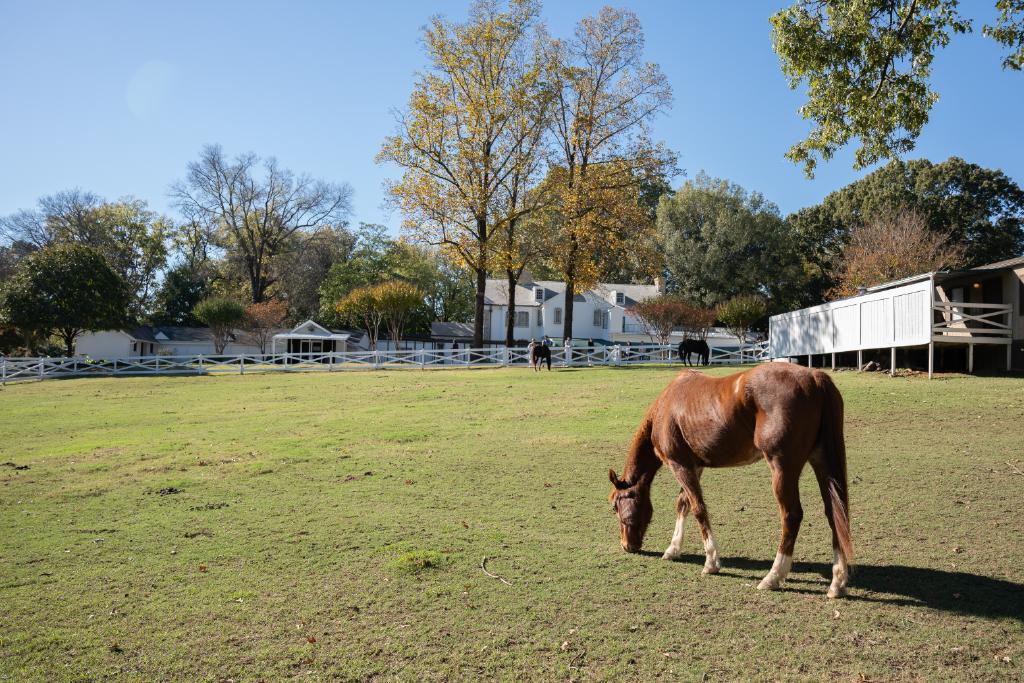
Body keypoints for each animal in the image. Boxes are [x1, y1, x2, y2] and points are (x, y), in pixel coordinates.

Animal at [606, 362, 856, 598]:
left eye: (615, 506)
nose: (626, 545)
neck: (665, 406)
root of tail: (814, 377)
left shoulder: (680, 466)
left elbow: (698, 508)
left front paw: (711, 562)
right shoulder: (695, 467)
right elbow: (683, 504)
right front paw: (673, 549)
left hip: (783, 469)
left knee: (792, 515)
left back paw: (773, 577)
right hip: (822, 462)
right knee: (835, 513)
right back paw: (837, 582)